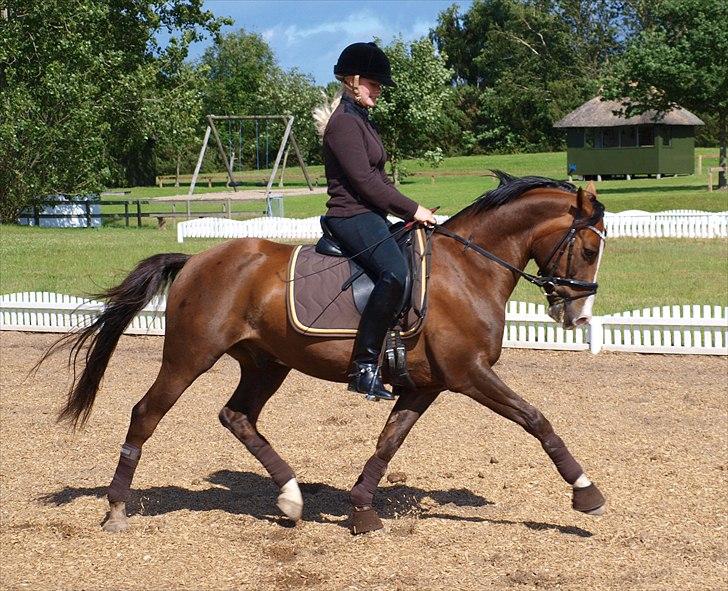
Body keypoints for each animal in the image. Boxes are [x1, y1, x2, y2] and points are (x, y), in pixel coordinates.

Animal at [44, 171, 608, 534]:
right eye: (588, 248)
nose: (578, 317)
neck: (467, 269)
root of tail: (196, 260)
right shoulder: (470, 374)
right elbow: (536, 419)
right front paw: (586, 492)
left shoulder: (426, 385)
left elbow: (388, 442)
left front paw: (361, 509)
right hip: (189, 357)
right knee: (146, 413)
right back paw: (117, 510)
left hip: (266, 364)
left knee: (237, 416)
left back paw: (291, 499)